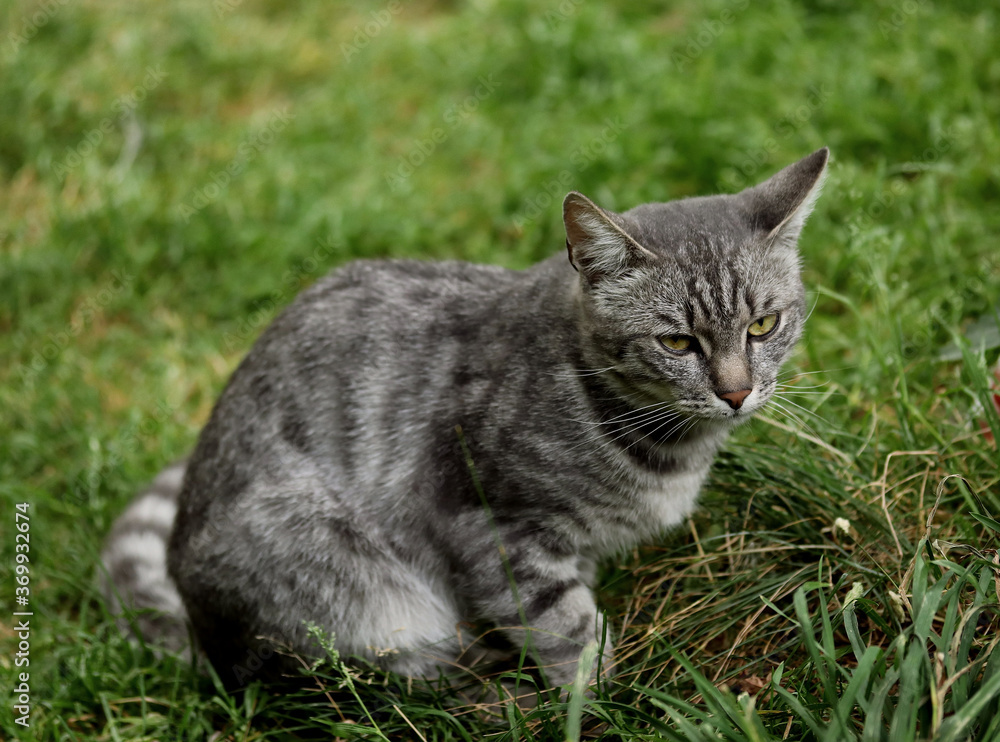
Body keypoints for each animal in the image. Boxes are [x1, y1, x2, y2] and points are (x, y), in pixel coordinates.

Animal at [99, 148, 828, 696]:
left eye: (764, 325)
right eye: (677, 342)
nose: (736, 392)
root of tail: (200, 633)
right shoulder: (493, 528)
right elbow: (567, 629)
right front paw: (597, 700)